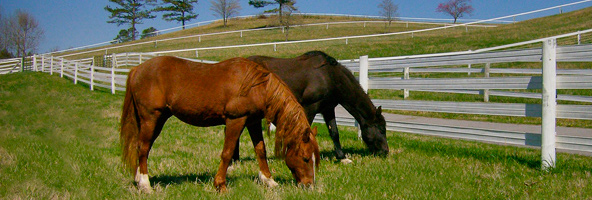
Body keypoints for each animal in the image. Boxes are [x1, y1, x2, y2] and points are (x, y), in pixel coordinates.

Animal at [119, 55, 320, 192]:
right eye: (305, 158)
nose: (309, 186)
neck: (257, 86)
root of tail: (136, 69)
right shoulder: (235, 120)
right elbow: (227, 152)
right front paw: (220, 185)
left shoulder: (253, 122)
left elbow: (260, 151)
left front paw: (269, 180)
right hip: (151, 118)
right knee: (143, 148)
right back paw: (145, 184)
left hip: (157, 120)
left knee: (143, 148)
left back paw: (138, 179)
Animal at [247, 50, 390, 163]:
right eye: (382, 129)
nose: (386, 151)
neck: (329, 76)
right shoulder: (310, 108)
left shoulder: (328, 109)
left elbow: (334, 132)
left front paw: (342, 157)